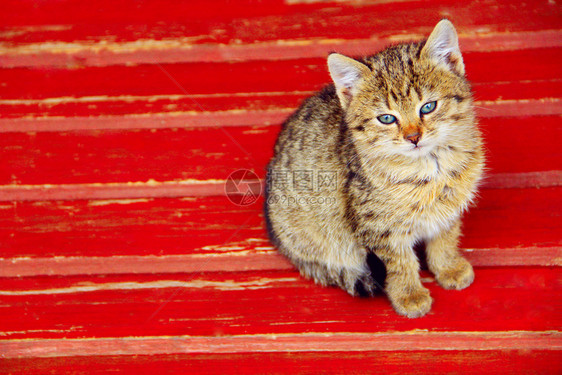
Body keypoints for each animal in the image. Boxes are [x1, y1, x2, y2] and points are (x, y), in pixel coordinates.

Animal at [264, 20, 484, 318]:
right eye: (387, 118)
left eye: (428, 106)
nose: (413, 137)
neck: (432, 167)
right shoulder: (379, 227)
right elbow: (401, 263)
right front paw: (409, 294)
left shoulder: (450, 207)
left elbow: (445, 237)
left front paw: (448, 266)